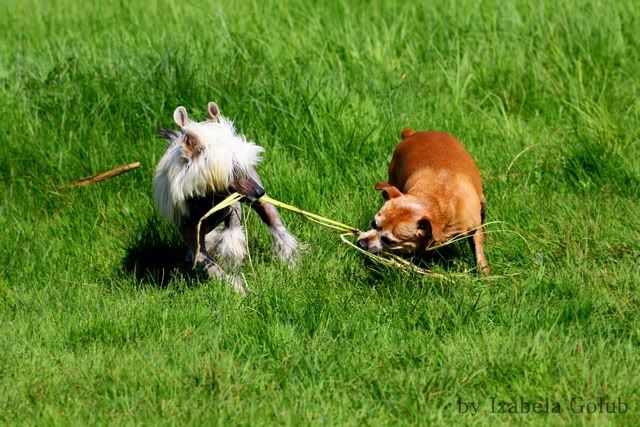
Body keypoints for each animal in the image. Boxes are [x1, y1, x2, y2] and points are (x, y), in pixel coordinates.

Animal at [153, 102, 300, 294]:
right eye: (232, 171)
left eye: (241, 166)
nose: (259, 192)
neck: (206, 201)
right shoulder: (192, 235)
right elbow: (211, 267)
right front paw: (237, 288)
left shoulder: (233, 207)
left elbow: (232, 235)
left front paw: (234, 263)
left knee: (275, 223)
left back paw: (290, 260)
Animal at [357, 129, 489, 273]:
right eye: (373, 223)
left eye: (388, 241)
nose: (361, 243)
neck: (436, 200)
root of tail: (412, 134)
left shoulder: (474, 228)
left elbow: (478, 251)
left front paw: (484, 272)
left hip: (482, 203)